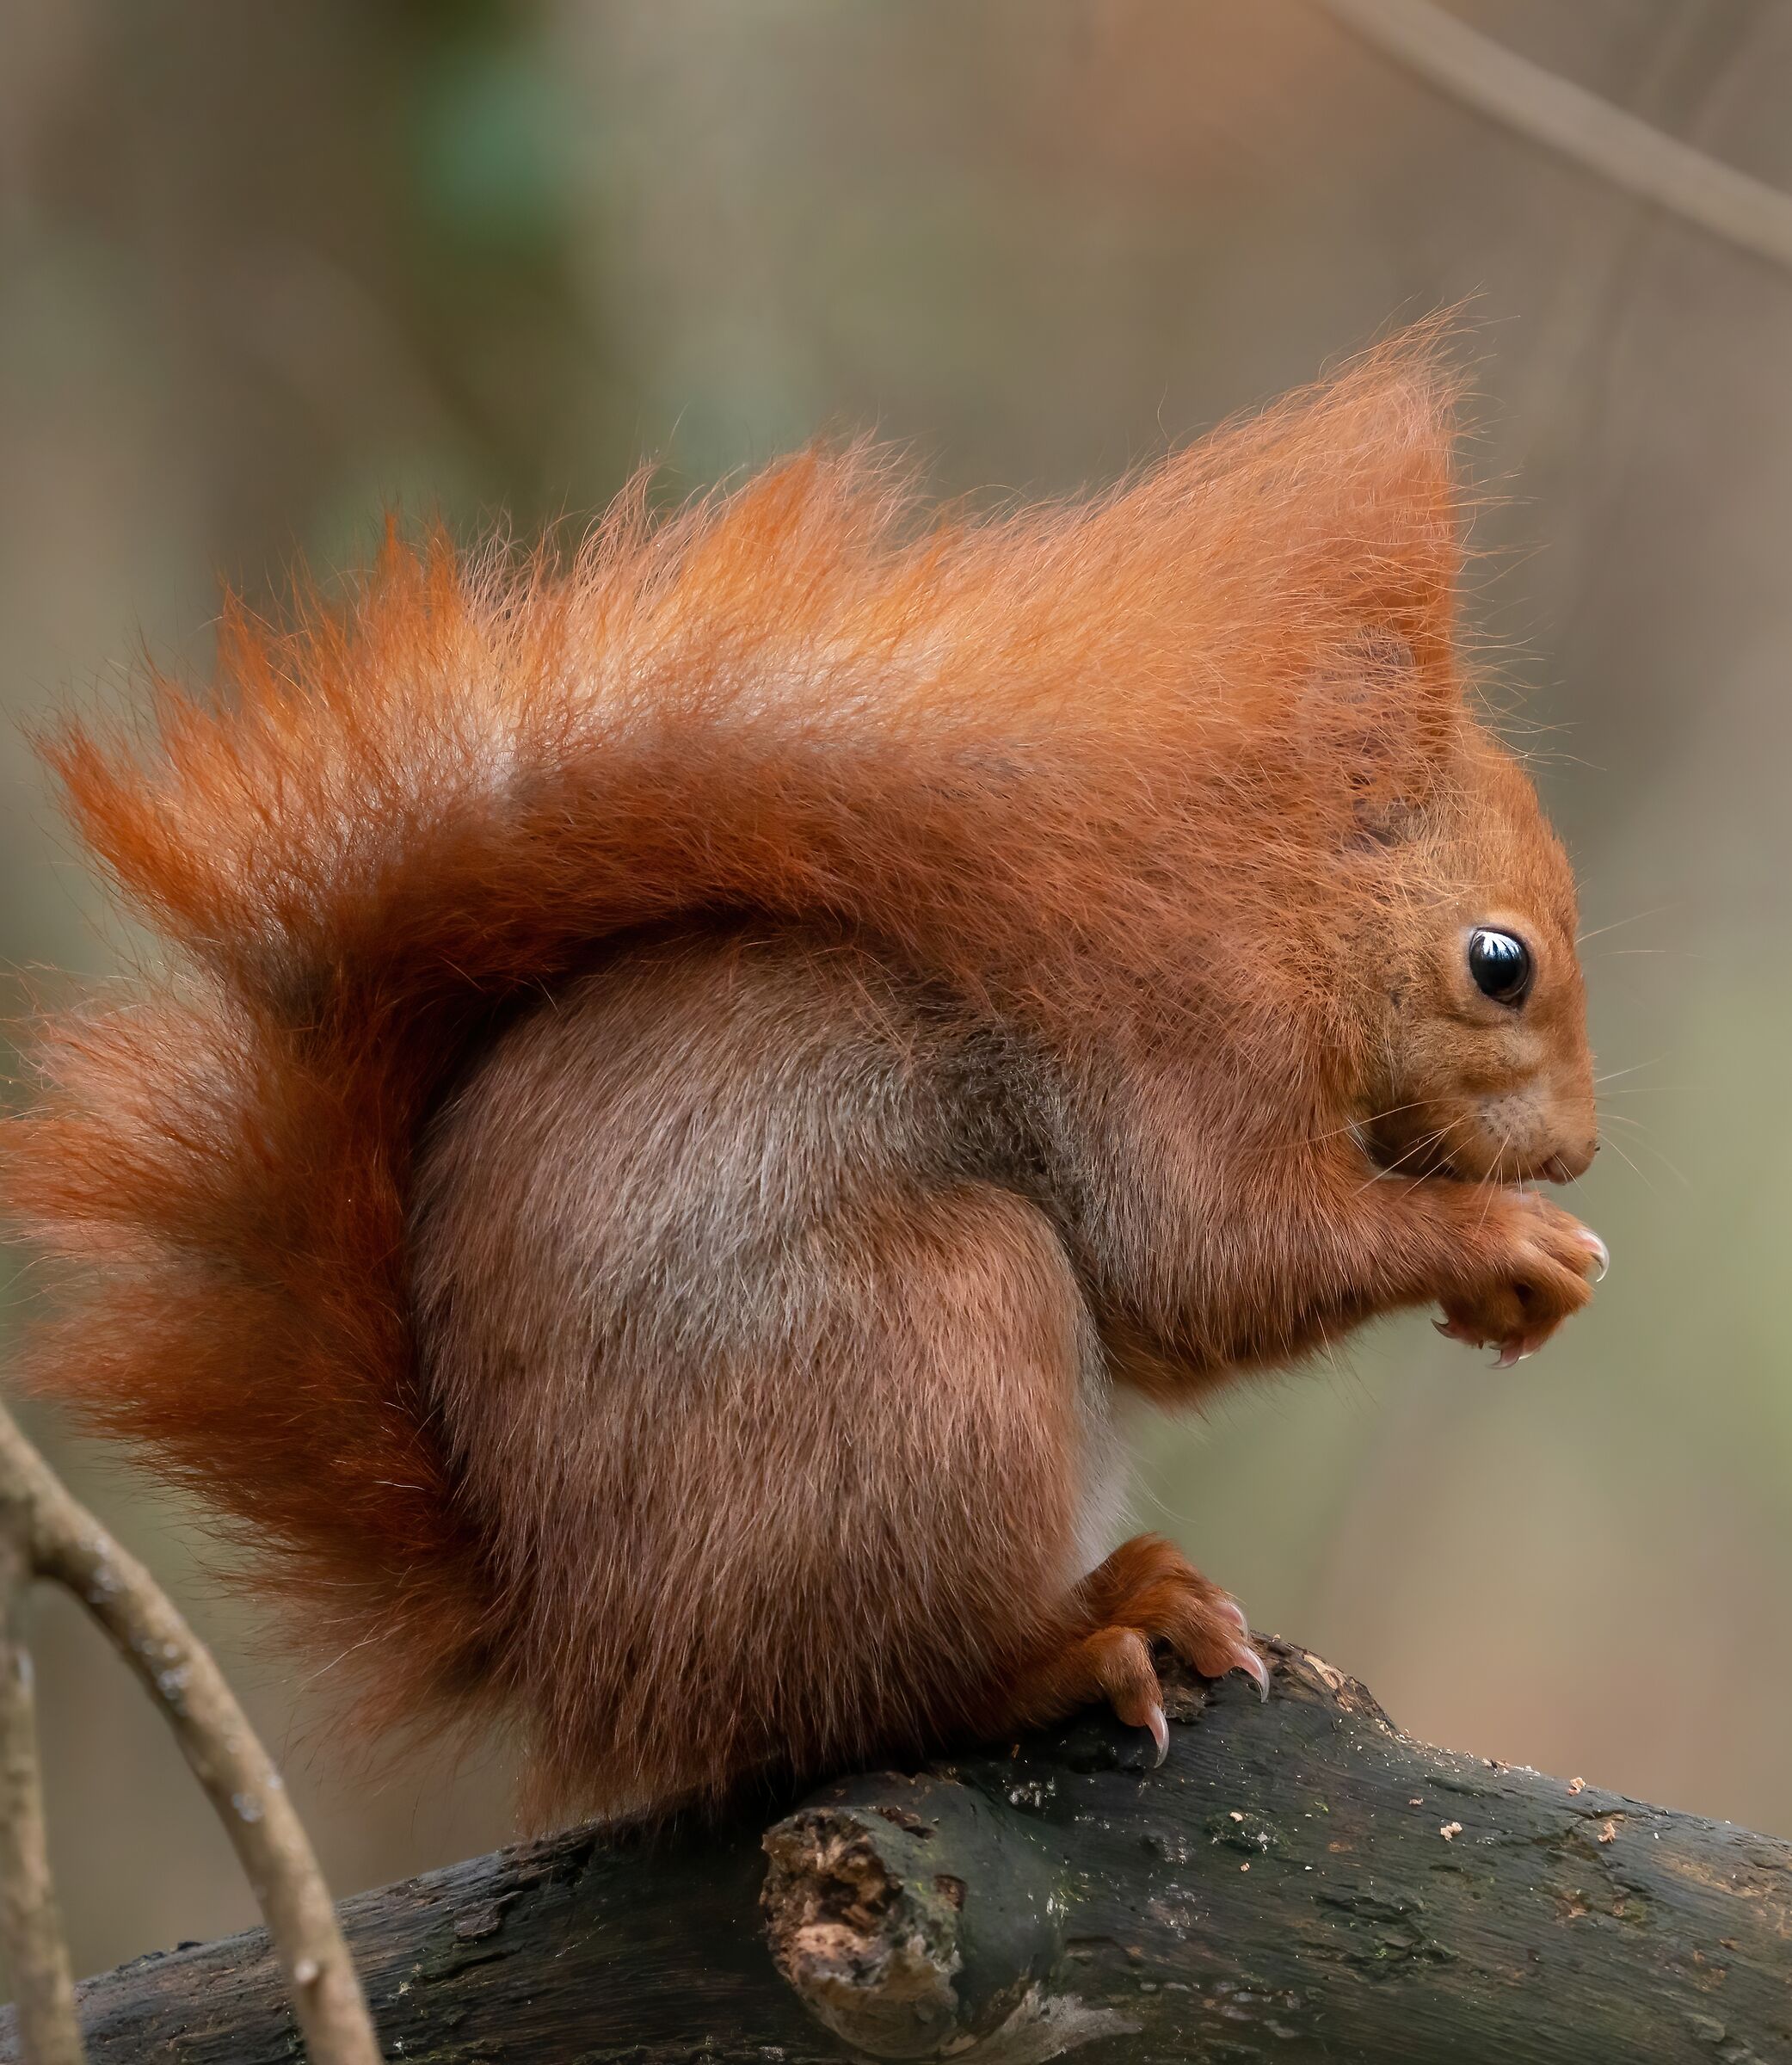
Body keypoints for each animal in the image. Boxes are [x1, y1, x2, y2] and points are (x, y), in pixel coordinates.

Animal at [3, 331, 1605, 1825]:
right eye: (1498, 963)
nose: (1575, 1152)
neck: (1273, 907)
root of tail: (574, 1648)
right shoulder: (1167, 1045)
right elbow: (1210, 1260)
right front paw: (1504, 1243)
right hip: (932, 1351)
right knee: (880, 1690)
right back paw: (1080, 1641)